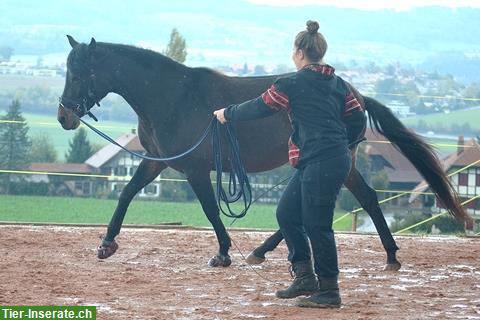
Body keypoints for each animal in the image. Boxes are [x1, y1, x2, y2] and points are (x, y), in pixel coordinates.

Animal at [57, 37, 472, 270]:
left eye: (78, 74)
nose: (63, 116)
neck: (174, 96)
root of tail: (354, 95)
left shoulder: (195, 168)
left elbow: (210, 209)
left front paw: (223, 254)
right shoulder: (156, 162)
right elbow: (126, 193)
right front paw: (107, 244)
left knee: (350, 202)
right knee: (366, 198)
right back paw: (386, 256)